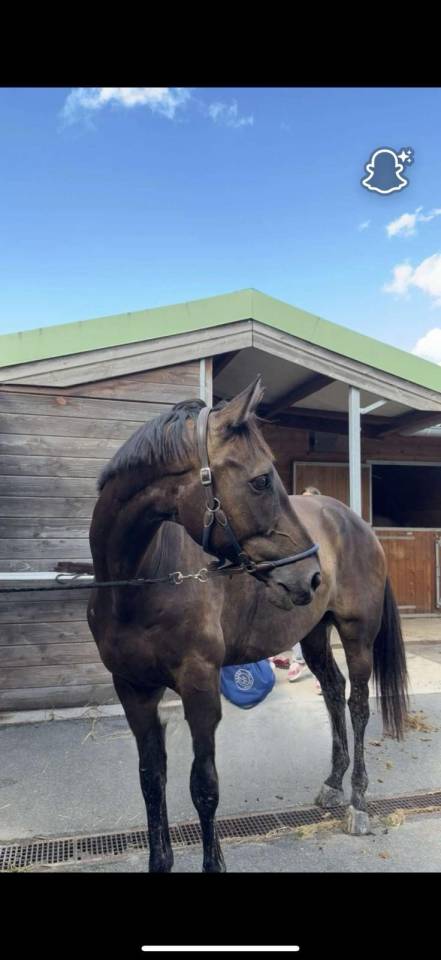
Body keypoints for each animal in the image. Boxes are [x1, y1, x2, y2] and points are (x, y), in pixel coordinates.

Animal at [84, 376, 408, 872]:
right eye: (260, 480)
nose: (312, 575)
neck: (138, 583)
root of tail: (355, 521)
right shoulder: (134, 692)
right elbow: (151, 780)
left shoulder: (200, 691)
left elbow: (204, 787)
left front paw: (213, 862)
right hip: (314, 634)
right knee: (333, 693)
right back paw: (333, 783)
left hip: (357, 634)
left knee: (357, 705)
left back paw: (357, 803)